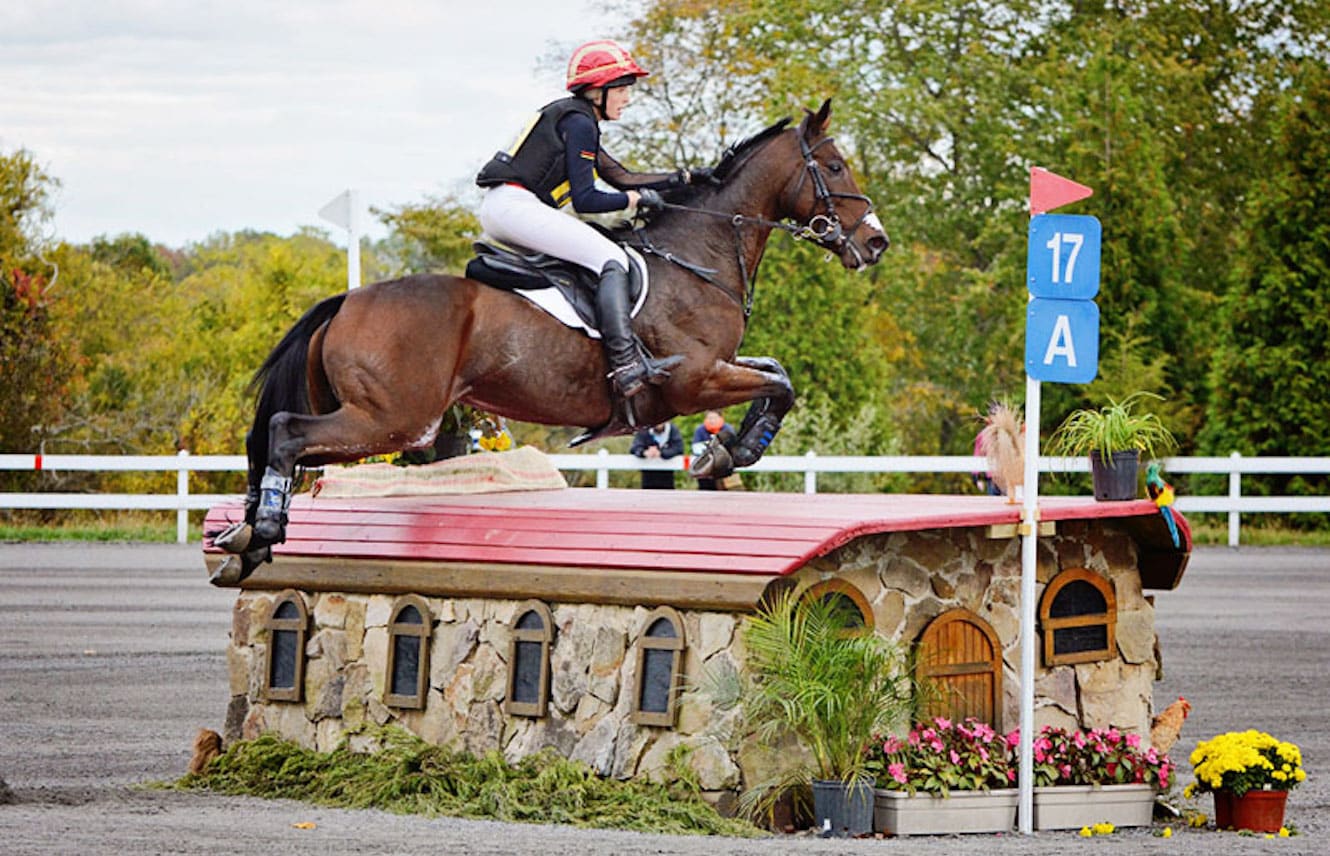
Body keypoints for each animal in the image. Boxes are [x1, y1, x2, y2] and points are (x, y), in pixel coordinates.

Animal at [212, 98, 888, 582]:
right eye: (834, 167)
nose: (876, 242)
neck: (697, 255)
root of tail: (347, 300)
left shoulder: (716, 368)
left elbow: (775, 372)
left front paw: (732, 449)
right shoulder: (693, 380)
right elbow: (780, 384)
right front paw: (726, 454)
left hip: (388, 420)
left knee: (269, 439)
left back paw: (243, 542)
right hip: (394, 419)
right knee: (285, 433)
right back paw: (262, 531)